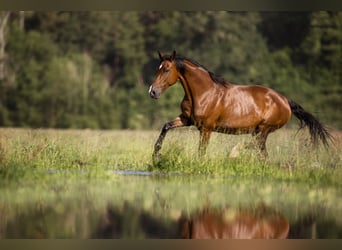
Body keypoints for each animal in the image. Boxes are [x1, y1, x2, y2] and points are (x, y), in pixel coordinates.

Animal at [148, 51, 332, 158]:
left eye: (166, 70)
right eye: (157, 69)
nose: (152, 92)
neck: (203, 92)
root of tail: (285, 100)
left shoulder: (206, 128)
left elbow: (201, 152)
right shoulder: (187, 120)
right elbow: (166, 126)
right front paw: (156, 154)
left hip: (263, 129)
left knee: (258, 147)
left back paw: (233, 153)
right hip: (259, 132)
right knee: (262, 153)